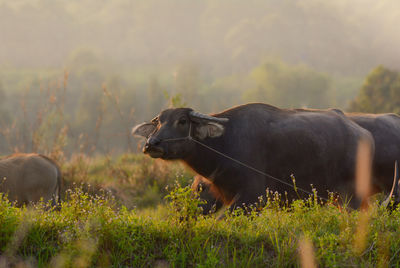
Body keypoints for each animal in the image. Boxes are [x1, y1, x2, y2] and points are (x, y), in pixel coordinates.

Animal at [134, 102, 376, 211]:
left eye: (182, 121)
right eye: (158, 122)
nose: (151, 144)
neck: (224, 143)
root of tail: (364, 135)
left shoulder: (251, 197)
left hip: (352, 197)